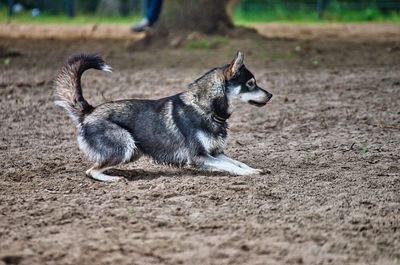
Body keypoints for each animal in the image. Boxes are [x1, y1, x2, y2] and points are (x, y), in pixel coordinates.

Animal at [54, 51, 274, 182]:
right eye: (251, 84)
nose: (271, 95)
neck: (205, 109)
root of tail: (89, 111)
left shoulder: (216, 153)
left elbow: (237, 162)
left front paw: (254, 169)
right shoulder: (199, 157)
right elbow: (232, 167)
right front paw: (250, 173)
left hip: (133, 151)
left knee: (99, 167)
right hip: (125, 146)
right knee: (91, 171)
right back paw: (116, 179)